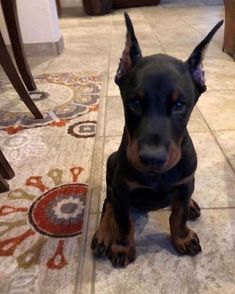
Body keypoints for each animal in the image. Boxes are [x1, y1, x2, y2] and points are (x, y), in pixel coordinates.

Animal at [91, 12, 223, 268]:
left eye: (180, 105)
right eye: (134, 102)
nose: (152, 159)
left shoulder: (185, 180)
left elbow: (178, 215)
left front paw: (182, 238)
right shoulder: (122, 188)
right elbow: (123, 222)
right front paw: (121, 246)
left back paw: (191, 204)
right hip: (112, 164)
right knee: (108, 203)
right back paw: (103, 234)